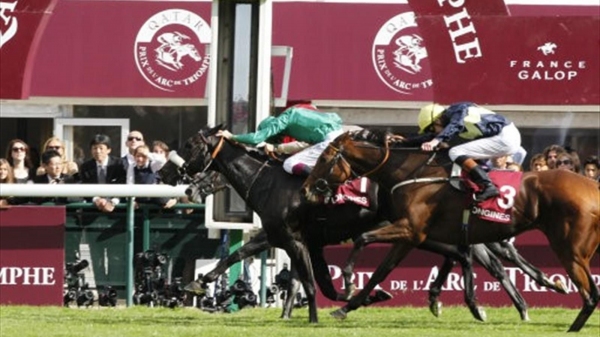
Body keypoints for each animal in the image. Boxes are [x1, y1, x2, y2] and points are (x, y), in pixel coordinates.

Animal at [158, 124, 564, 322]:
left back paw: (509, 301)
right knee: (467, 255)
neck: (268, 179)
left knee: (483, 258)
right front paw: (197, 284)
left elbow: (311, 281)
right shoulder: (290, 237)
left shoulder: (293, 238)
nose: (167, 174)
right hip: (421, 230)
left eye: (192, 145)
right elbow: (241, 257)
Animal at [304, 129, 600, 330]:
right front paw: (347, 306)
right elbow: (382, 270)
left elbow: (363, 240)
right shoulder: (413, 235)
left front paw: (348, 281)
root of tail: (591, 187)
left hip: (568, 249)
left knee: (587, 292)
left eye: (324, 158)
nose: (307, 188)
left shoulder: (411, 230)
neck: (411, 173)